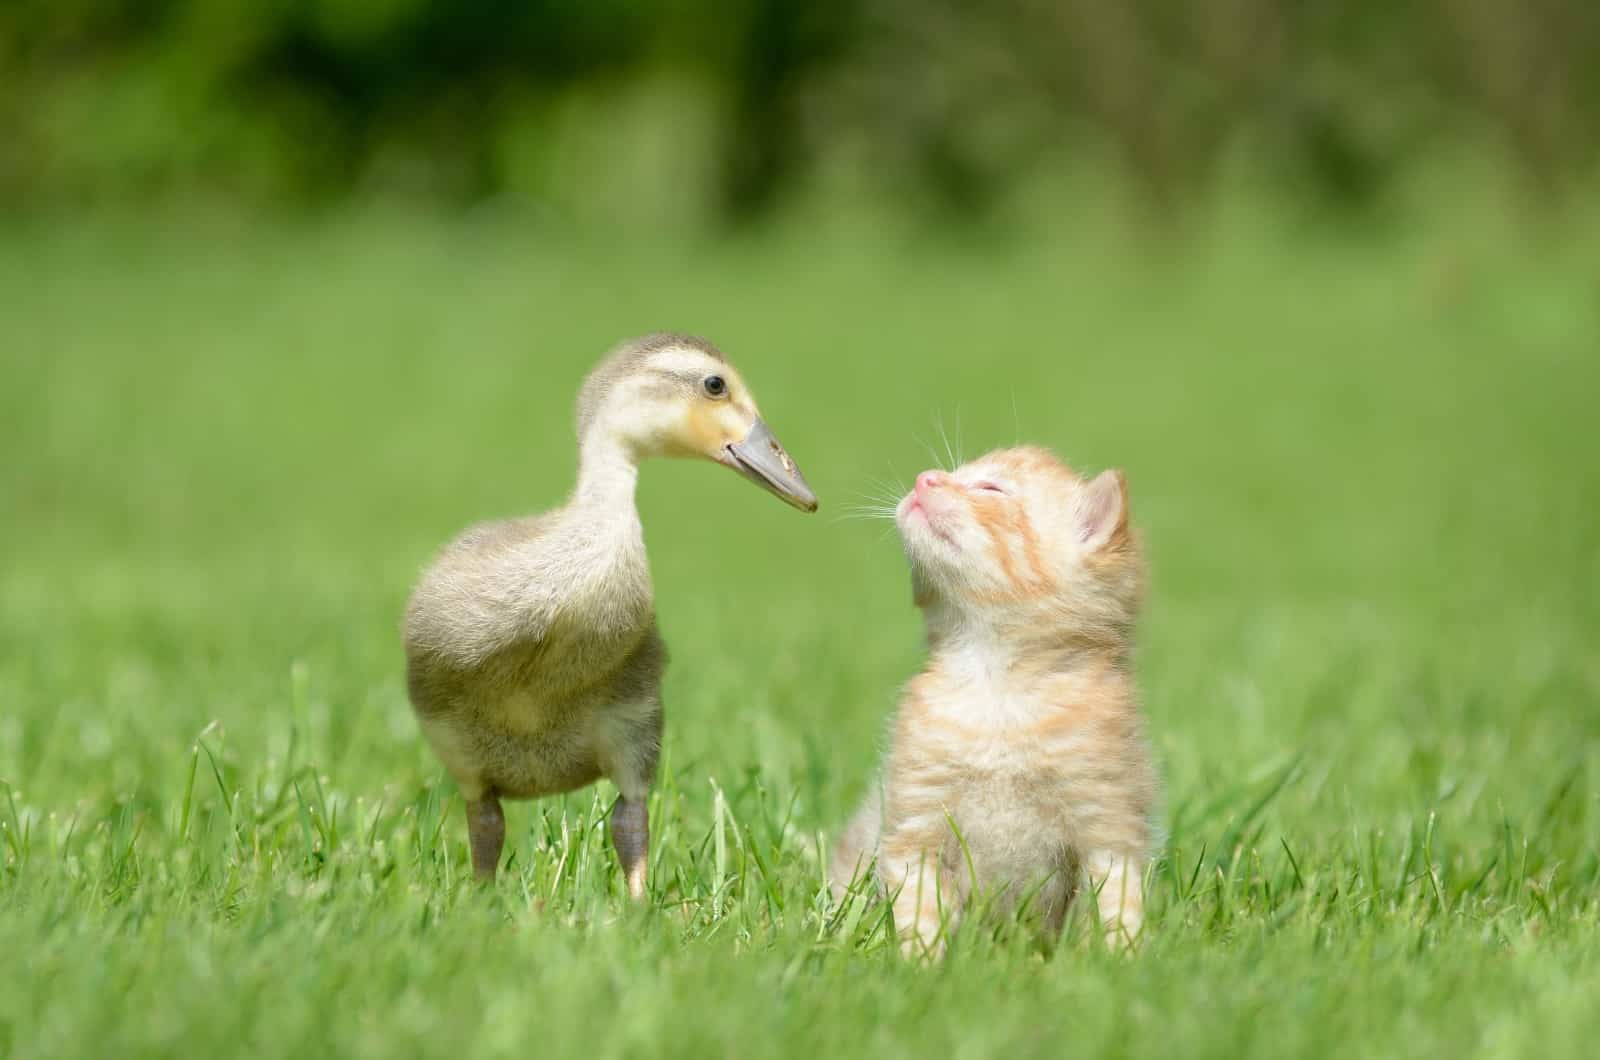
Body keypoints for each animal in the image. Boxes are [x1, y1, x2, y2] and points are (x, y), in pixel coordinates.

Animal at [832, 445, 1158, 960]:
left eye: (991, 488)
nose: (925, 478)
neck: (995, 691)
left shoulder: (1109, 822)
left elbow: (1116, 909)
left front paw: (1117, 964)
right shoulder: (913, 823)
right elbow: (919, 911)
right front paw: (919, 965)